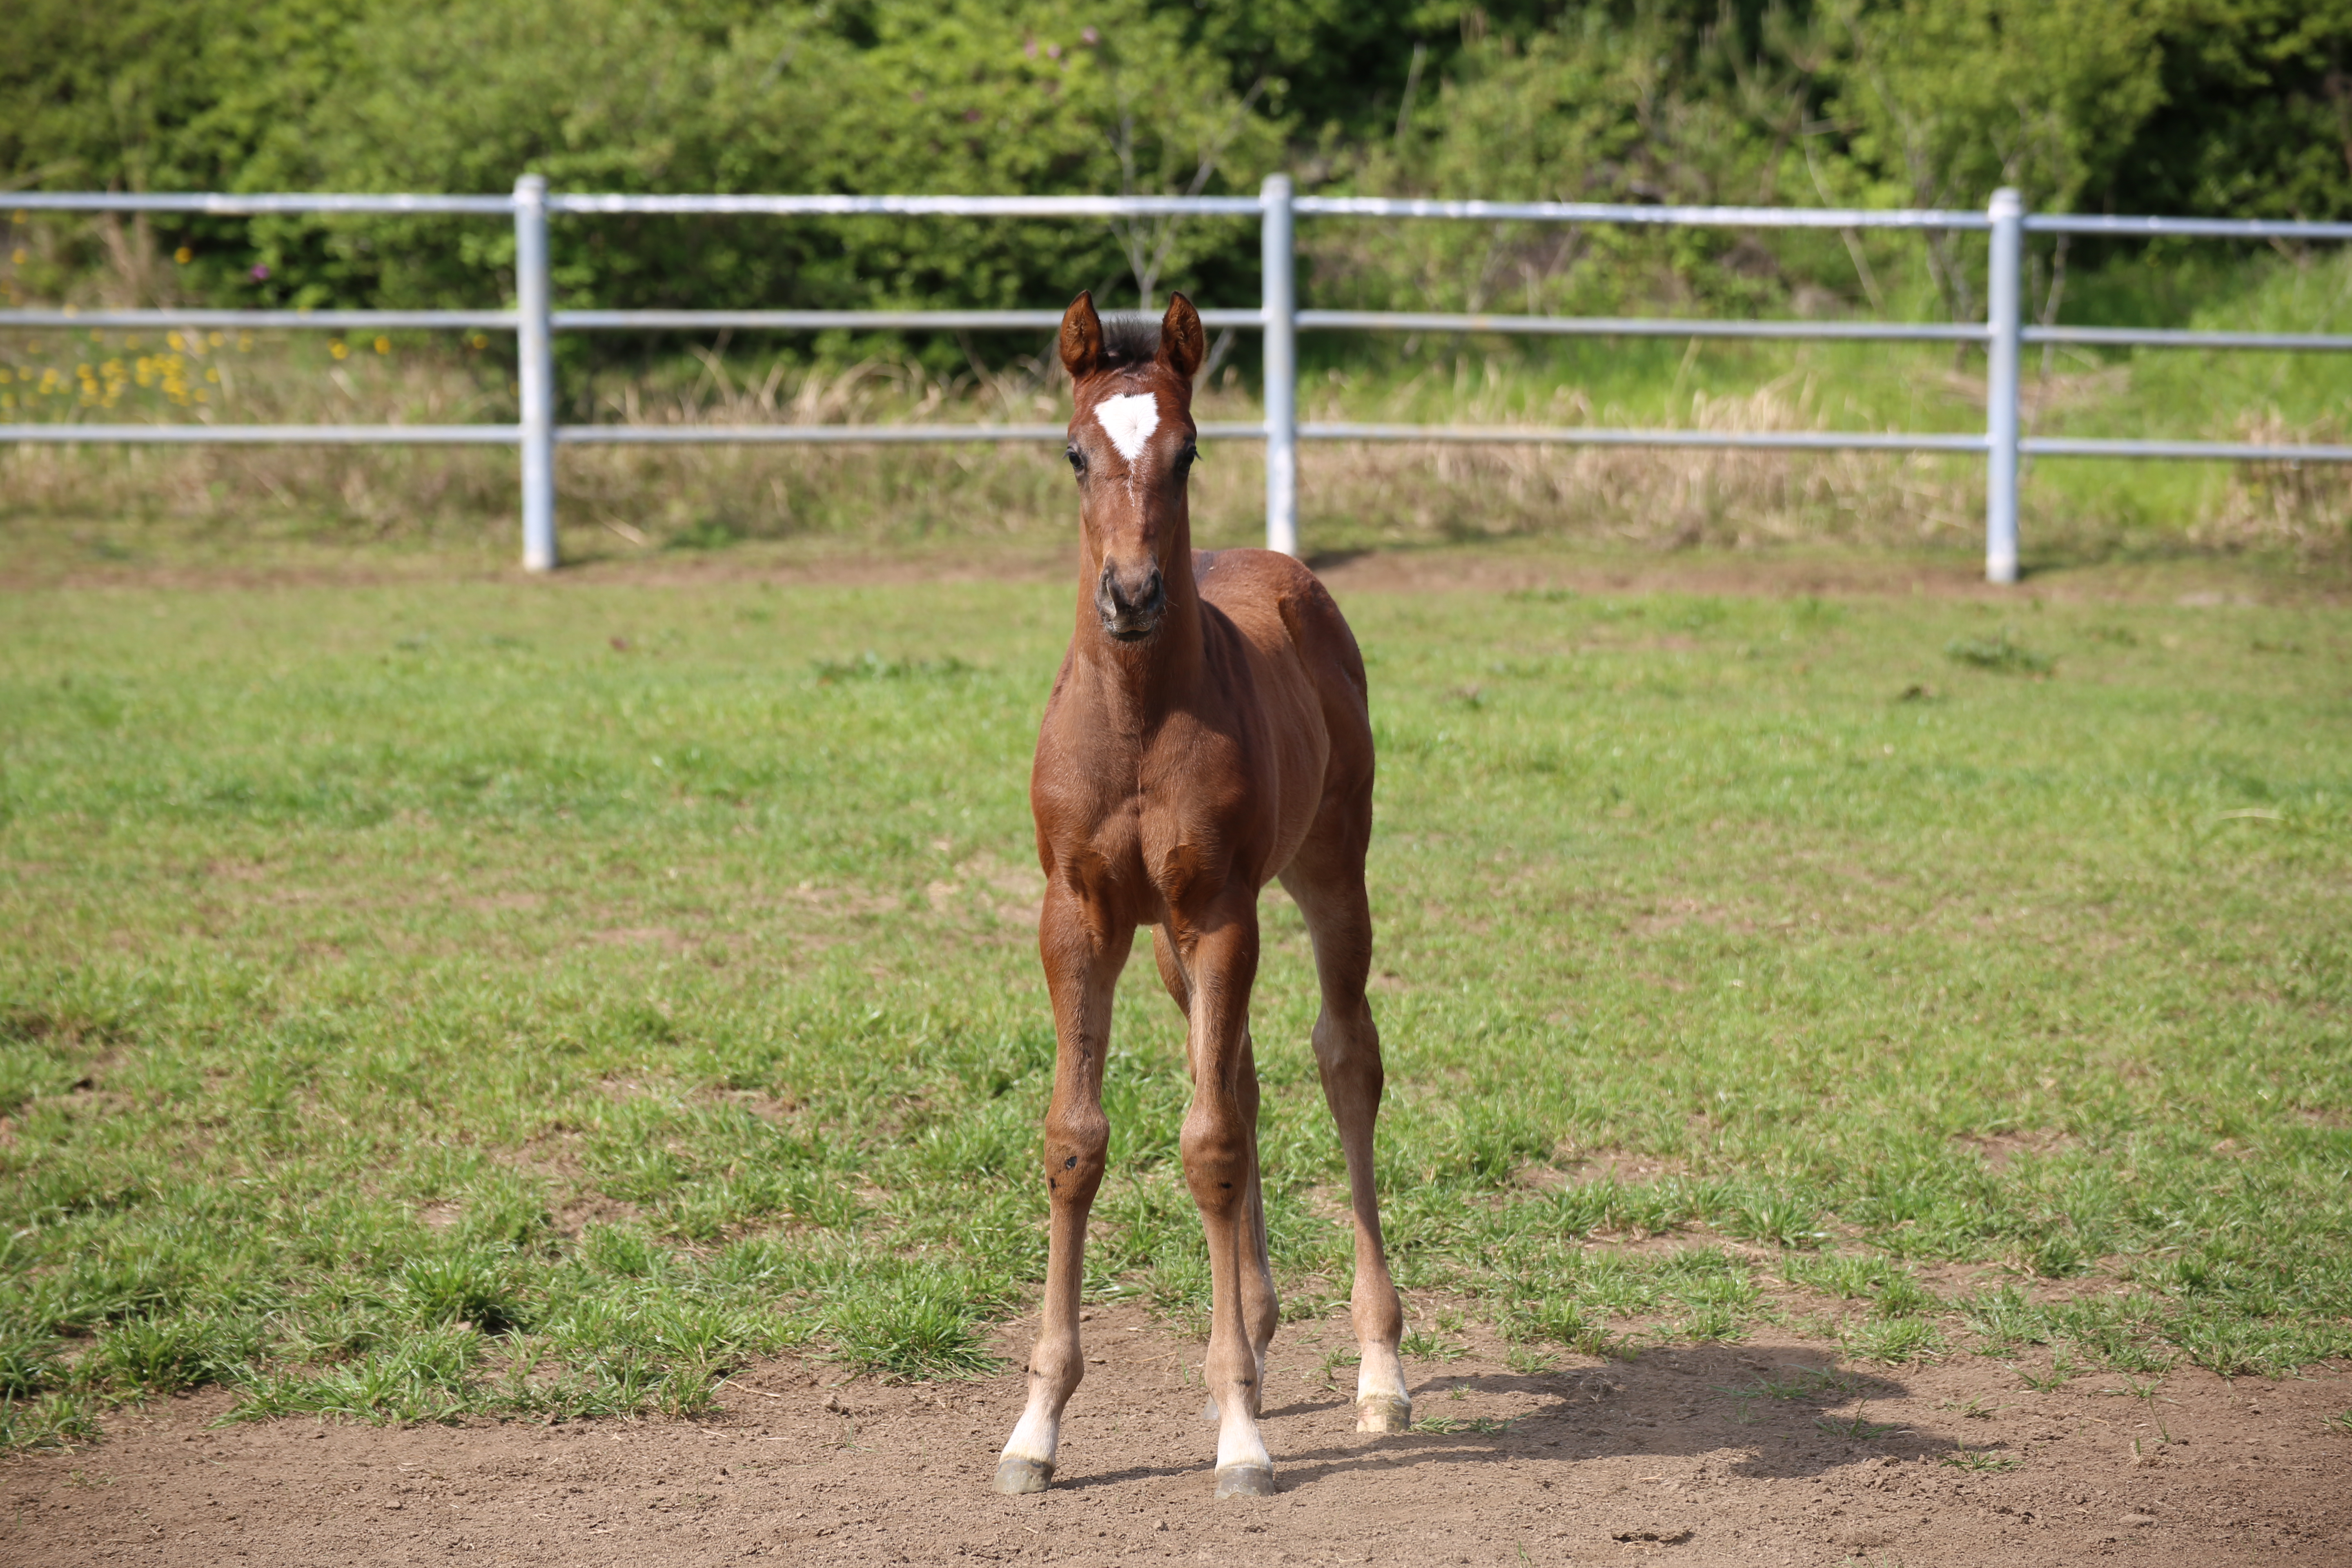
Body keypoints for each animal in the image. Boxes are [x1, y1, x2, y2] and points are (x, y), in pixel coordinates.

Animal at [983, 288, 1401, 1504]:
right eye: (1075, 452)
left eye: (1187, 449)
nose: (1130, 596)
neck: (1135, 720)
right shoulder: (1078, 915)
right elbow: (1076, 1141)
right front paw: (1035, 1429)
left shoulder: (1221, 908)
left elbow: (1207, 1143)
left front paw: (1242, 1436)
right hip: (1169, 942)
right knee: (1247, 1074)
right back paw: (1255, 1326)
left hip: (1327, 872)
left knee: (1344, 1059)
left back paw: (1380, 1370)